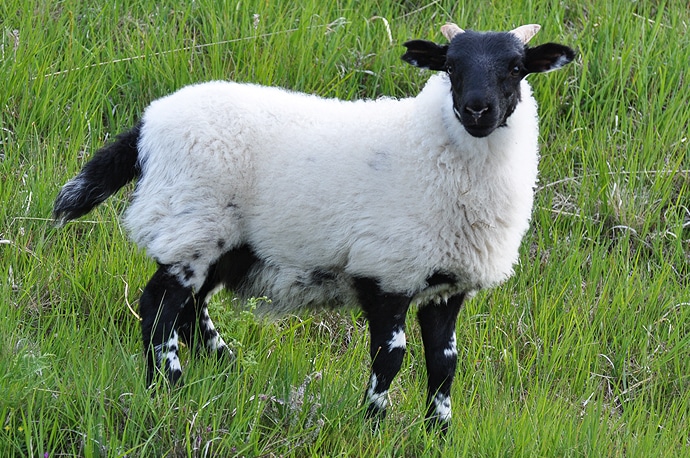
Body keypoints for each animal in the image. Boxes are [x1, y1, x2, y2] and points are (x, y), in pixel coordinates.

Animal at [53, 23, 572, 432]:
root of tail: (148, 124)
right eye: (450, 66)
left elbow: (444, 365)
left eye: (516, 67)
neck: (431, 145)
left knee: (192, 308)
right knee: (159, 308)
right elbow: (391, 357)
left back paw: (227, 369)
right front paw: (372, 425)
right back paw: (170, 387)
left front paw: (438, 433)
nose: (477, 109)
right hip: (192, 224)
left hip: (224, 242)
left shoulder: (446, 285)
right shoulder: (387, 269)